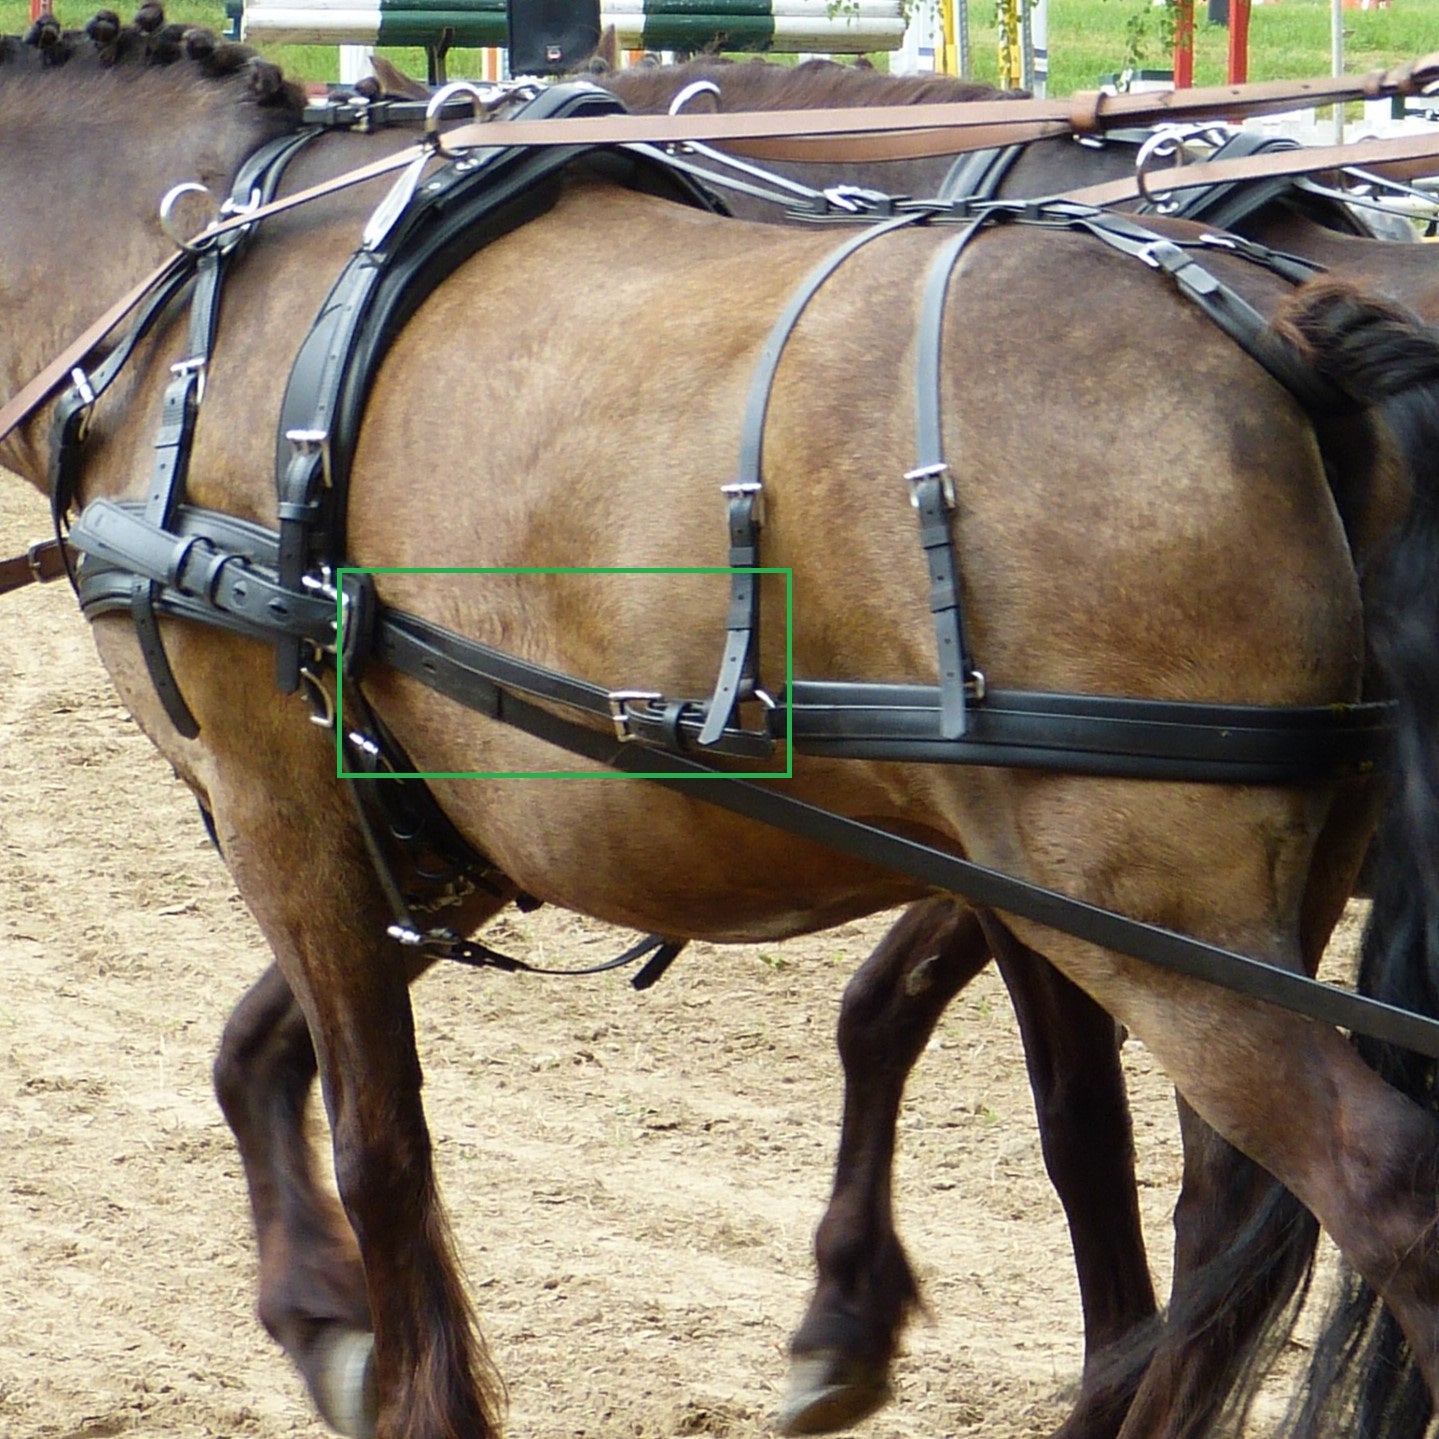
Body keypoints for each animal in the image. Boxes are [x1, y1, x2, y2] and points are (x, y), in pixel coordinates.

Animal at [8, 11, 1439, 1439]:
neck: (194, 278)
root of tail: (1282, 339)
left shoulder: (280, 800)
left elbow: (383, 1147)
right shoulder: (449, 816)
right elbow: (258, 1049)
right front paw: (324, 1316)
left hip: (1140, 906)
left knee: (1377, 1193)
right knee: (1233, 1208)